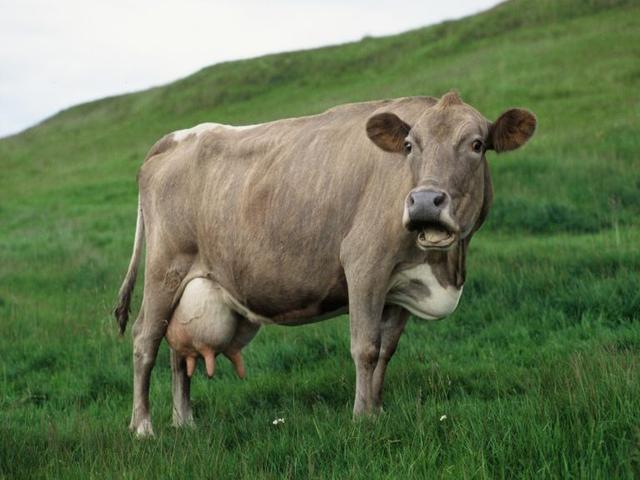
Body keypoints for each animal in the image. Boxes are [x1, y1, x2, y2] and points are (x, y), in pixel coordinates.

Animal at [114, 92, 536, 436]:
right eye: (409, 145)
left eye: (477, 145)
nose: (424, 203)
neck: (444, 266)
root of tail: (178, 137)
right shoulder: (364, 263)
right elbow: (364, 347)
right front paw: (362, 418)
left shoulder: (400, 288)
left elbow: (386, 350)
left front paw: (377, 411)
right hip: (164, 267)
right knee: (145, 339)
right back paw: (144, 427)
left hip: (189, 285)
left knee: (177, 351)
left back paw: (184, 421)